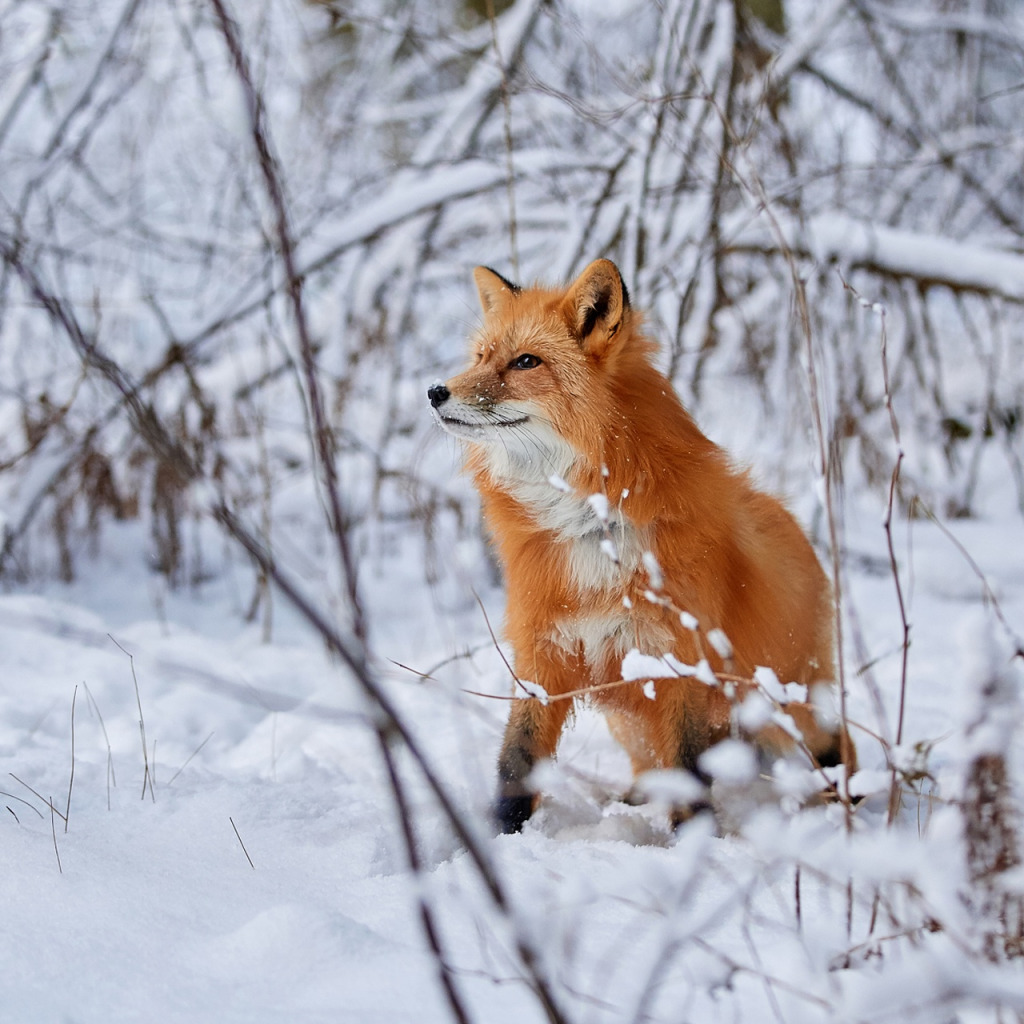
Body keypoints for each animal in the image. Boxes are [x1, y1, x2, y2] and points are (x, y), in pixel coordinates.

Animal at [430, 258, 856, 831]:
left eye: (526, 362)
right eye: (480, 357)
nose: (436, 392)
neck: (590, 529)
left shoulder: (682, 660)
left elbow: (691, 772)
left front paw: (695, 840)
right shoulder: (543, 650)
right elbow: (517, 757)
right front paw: (502, 834)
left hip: (786, 701)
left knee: (835, 743)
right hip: (632, 715)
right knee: (651, 762)